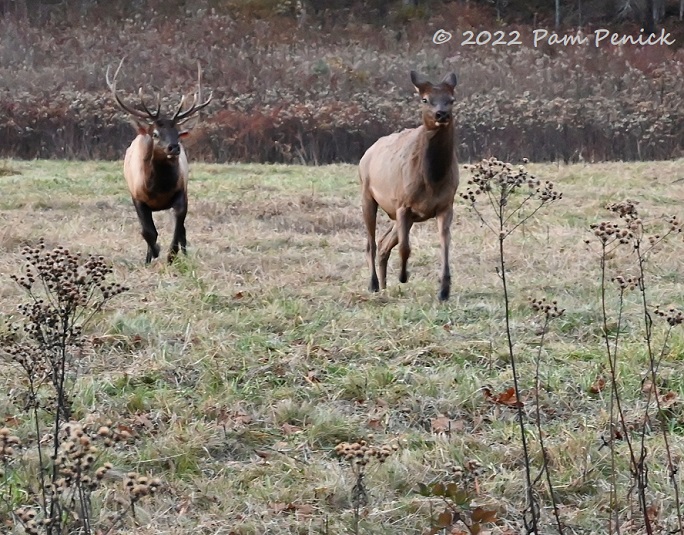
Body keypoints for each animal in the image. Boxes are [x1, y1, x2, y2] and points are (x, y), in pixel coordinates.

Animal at [104, 58, 210, 264]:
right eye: (155, 134)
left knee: (183, 230)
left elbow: (178, 227)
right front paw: (153, 253)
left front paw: (171, 255)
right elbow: (147, 232)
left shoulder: (181, 192)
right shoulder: (137, 197)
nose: (174, 148)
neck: (158, 189)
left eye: (178, 133)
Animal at [358, 70, 460, 302]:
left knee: (384, 243)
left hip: (401, 215)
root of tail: (367, 152)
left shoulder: (446, 205)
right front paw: (403, 276)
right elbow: (405, 247)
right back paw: (373, 284)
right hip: (367, 194)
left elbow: (445, 243)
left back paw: (384, 285)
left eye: (451, 99)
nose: (442, 114)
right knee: (371, 243)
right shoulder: (402, 203)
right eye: (425, 99)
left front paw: (444, 291)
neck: (432, 180)